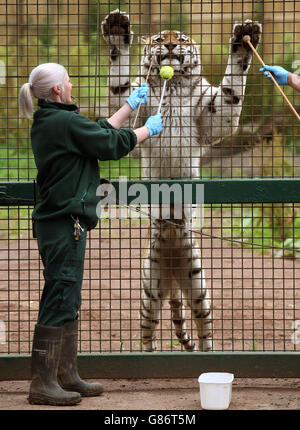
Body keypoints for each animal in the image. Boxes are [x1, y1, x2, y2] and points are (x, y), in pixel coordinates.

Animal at [101, 9, 260, 352]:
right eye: (161, 38)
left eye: (183, 39)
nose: (172, 45)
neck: (172, 85)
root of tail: (174, 272)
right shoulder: (131, 108)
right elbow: (120, 88)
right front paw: (117, 31)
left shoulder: (215, 114)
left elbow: (232, 90)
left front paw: (244, 41)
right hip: (151, 289)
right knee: (148, 334)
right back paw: (148, 354)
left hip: (199, 286)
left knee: (204, 331)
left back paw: (207, 355)